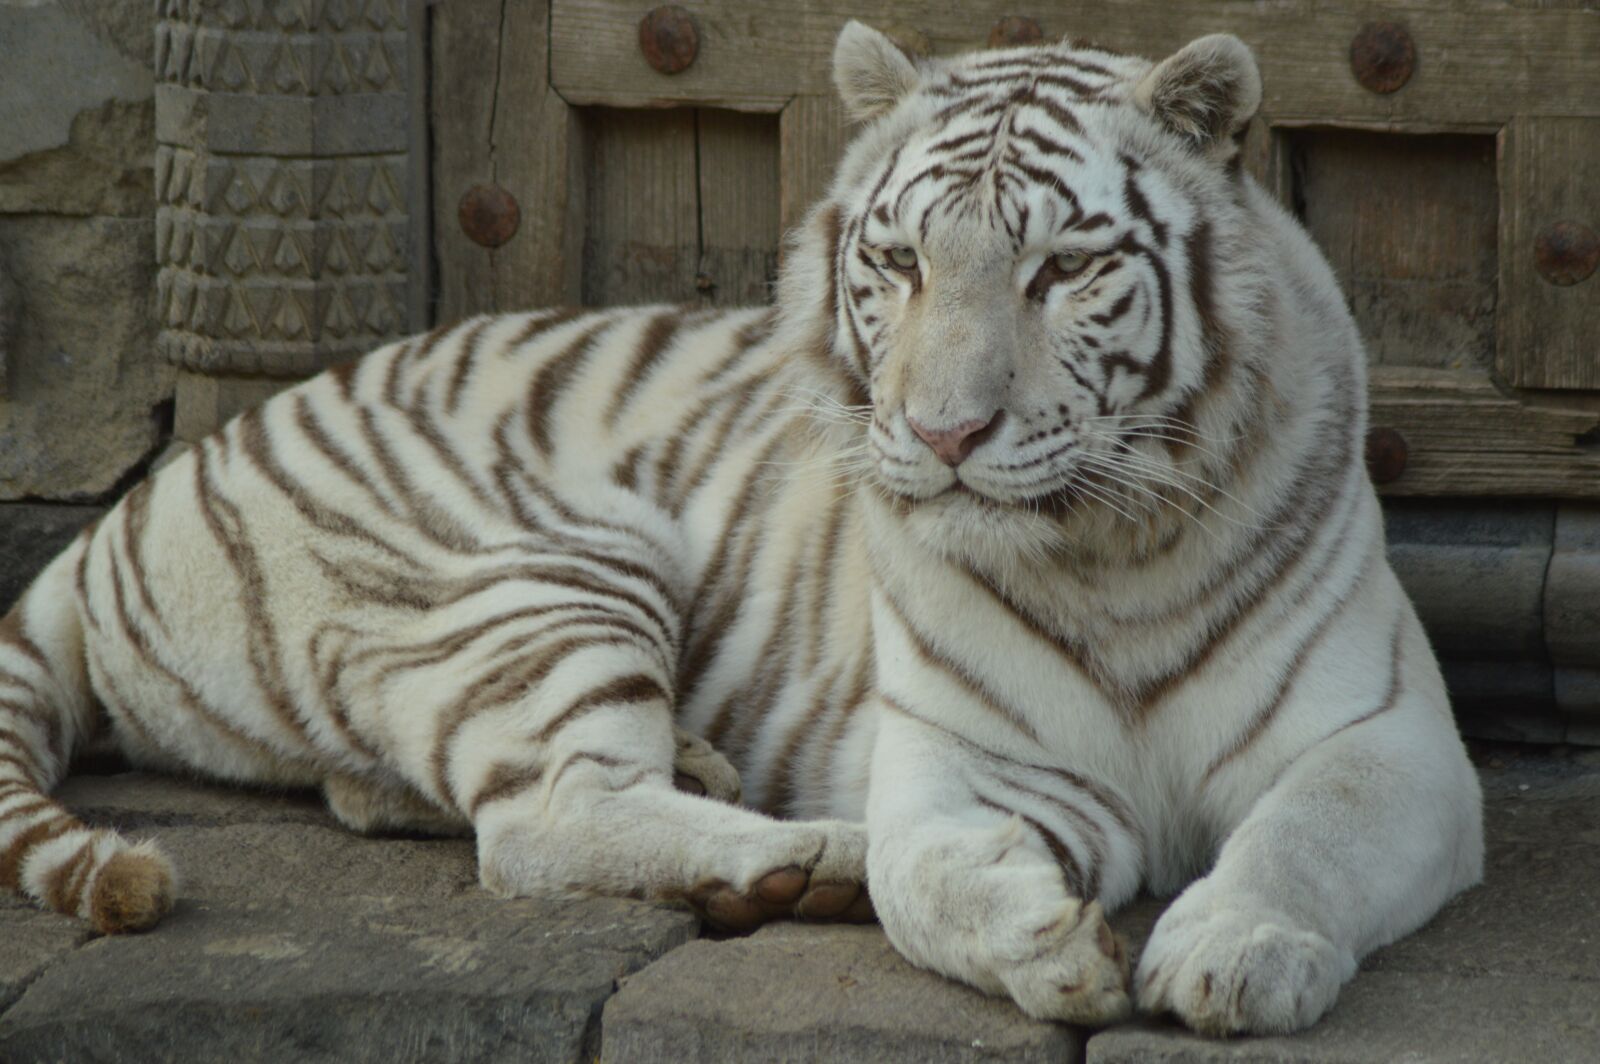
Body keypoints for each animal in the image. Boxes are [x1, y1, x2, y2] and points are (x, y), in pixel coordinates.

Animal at [0, 21, 1483, 1035]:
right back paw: (805, 861)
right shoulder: (962, 760)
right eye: (899, 263)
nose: (944, 434)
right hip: (550, 568)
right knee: (541, 818)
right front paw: (1049, 943)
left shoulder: (1388, 740)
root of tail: (141, 493)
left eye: (1064, 270)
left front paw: (1233, 956)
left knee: (404, 794)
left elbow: (1305, 834)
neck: (1110, 555)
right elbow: (930, 873)